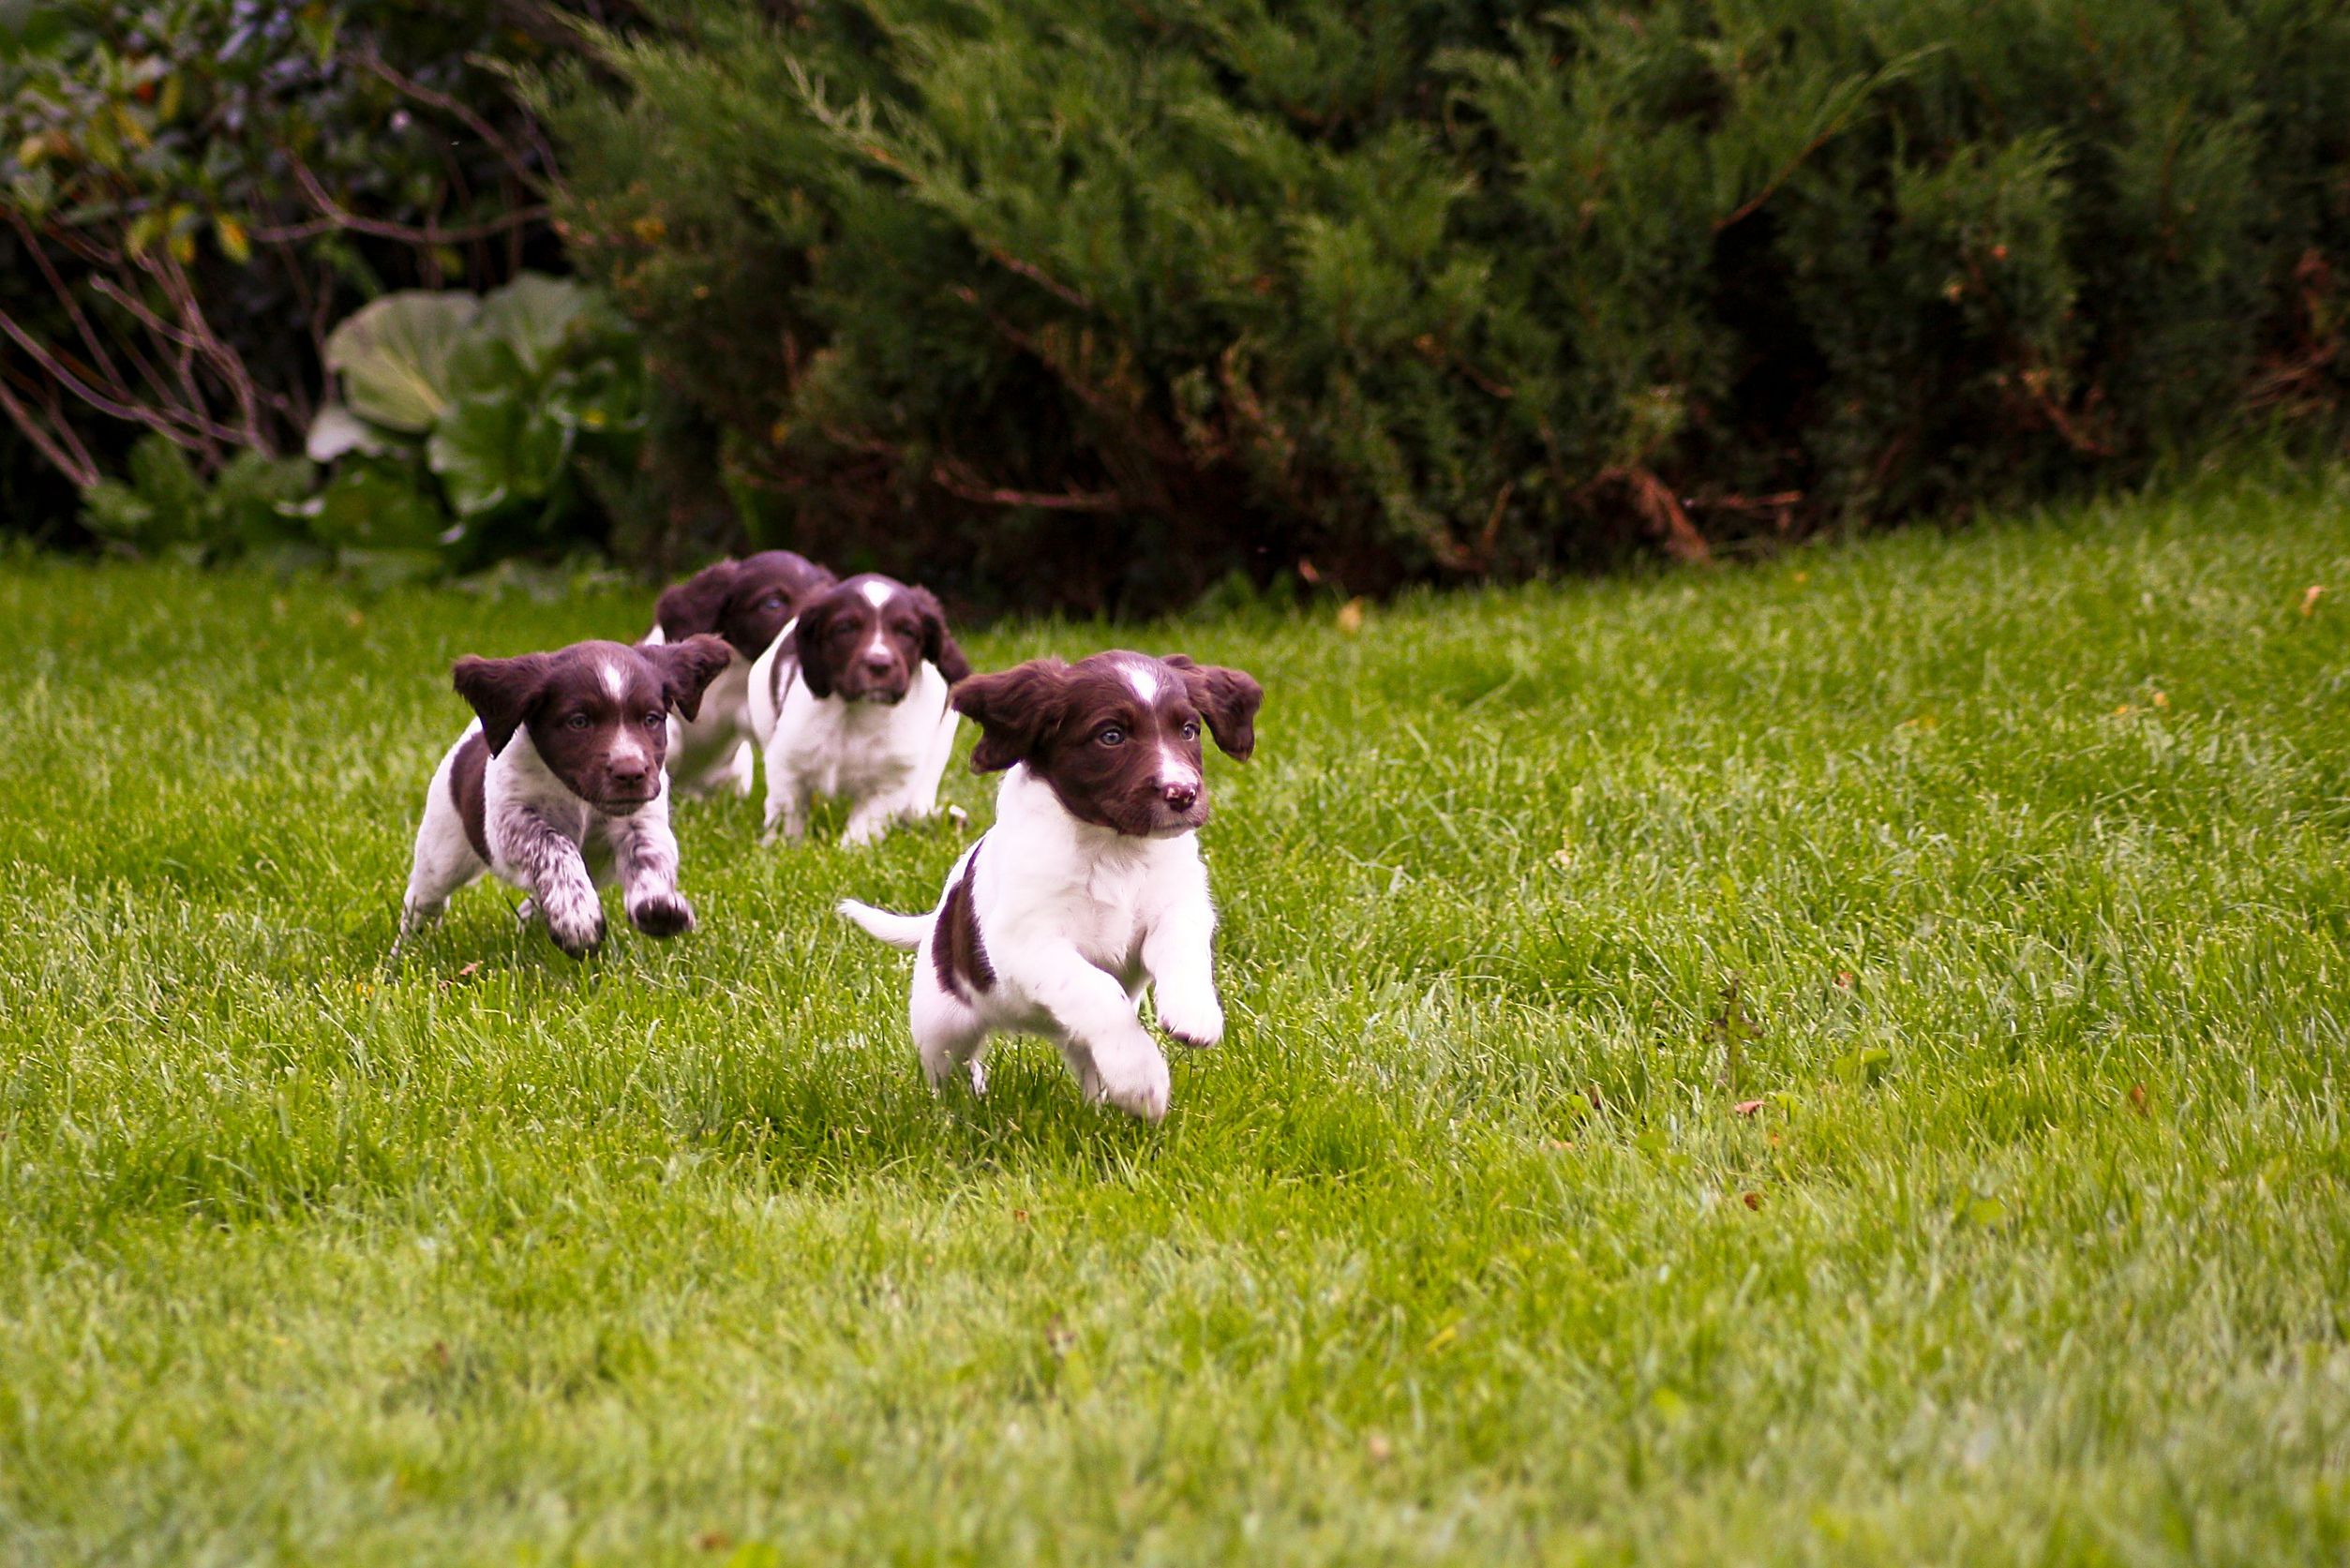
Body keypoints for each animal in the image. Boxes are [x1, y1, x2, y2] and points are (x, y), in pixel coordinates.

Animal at [399, 635, 733, 959]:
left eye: (651, 719)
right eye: (579, 722)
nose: (630, 773)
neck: (580, 798)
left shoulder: (643, 818)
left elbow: (650, 854)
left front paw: (658, 906)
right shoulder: (510, 819)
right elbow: (553, 844)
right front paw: (577, 918)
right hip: (442, 854)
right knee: (423, 902)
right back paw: (406, 952)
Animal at [752, 574, 972, 845]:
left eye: (907, 631)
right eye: (845, 628)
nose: (879, 664)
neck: (857, 714)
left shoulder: (891, 781)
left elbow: (862, 831)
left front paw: (847, 850)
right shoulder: (787, 762)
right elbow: (786, 815)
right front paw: (783, 847)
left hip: (941, 741)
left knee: (918, 801)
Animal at [836, 658, 1259, 1123]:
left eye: (1188, 730)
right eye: (1111, 736)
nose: (1182, 794)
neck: (1115, 851)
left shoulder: (1178, 905)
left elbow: (1182, 951)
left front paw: (1194, 1014)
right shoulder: (1027, 942)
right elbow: (1099, 989)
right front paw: (1142, 1082)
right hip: (940, 1020)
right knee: (951, 1066)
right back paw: (962, 1108)